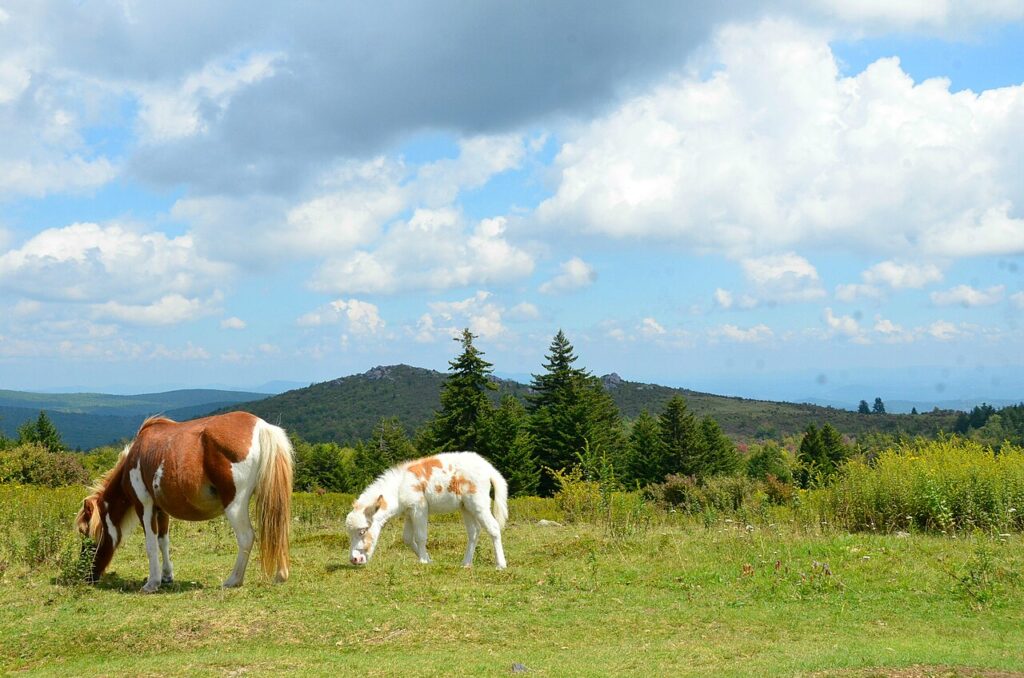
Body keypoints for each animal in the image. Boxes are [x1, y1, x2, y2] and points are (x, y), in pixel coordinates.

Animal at [75, 411, 294, 593]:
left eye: (86, 534)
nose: (87, 577)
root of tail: (261, 427)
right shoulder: (161, 510)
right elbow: (163, 541)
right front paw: (166, 576)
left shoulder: (144, 506)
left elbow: (151, 544)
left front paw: (152, 583)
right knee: (279, 530)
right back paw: (281, 575)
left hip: (235, 505)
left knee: (247, 537)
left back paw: (233, 580)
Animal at [345, 452, 508, 569]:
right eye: (349, 533)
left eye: (362, 531)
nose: (354, 559)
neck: (399, 488)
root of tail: (488, 467)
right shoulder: (409, 512)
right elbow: (407, 538)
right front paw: (428, 559)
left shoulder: (420, 508)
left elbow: (420, 536)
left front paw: (423, 561)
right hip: (466, 507)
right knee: (474, 532)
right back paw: (466, 564)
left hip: (478, 503)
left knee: (493, 528)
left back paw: (500, 565)